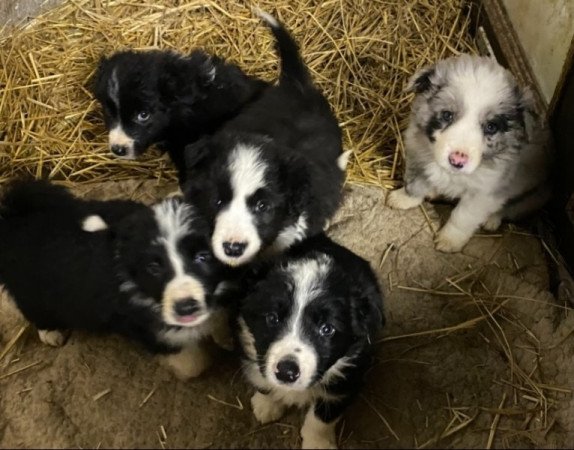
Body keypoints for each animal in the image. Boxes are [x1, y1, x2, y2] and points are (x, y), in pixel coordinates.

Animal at [0, 179, 235, 380]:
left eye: (203, 256)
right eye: (153, 267)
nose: (186, 307)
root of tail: (16, 216)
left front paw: (226, 338)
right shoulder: (153, 334)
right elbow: (193, 364)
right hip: (31, 292)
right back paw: (51, 334)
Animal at [236, 234, 384, 448]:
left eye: (327, 329)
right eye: (272, 318)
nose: (287, 372)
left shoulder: (345, 381)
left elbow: (323, 417)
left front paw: (317, 443)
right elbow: (262, 382)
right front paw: (266, 405)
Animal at [388, 53, 552, 253]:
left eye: (491, 126)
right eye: (447, 115)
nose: (457, 160)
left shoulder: (482, 194)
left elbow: (462, 217)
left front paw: (449, 240)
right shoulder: (417, 157)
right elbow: (414, 185)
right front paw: (402, 198)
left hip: (532, 197)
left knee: (508, 209)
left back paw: (492, 220)